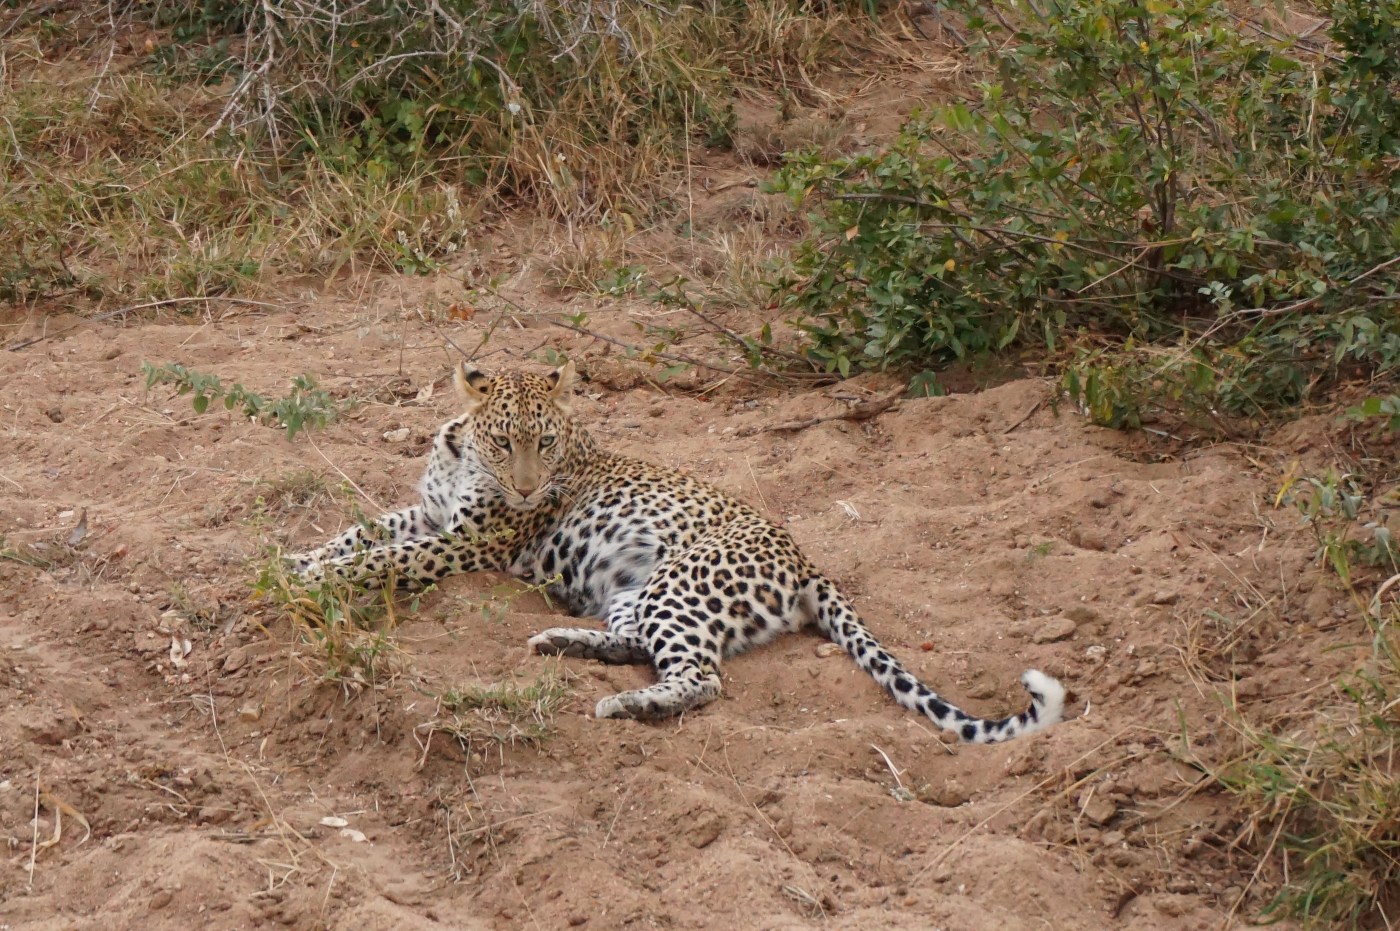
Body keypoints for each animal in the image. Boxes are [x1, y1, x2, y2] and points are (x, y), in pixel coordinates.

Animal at [288, 361, 1066, 743]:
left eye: (547, 441)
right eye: (507, 440)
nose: (530, 486)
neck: (463, 455)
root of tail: (804, 559)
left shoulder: (468, 541)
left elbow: (386, 558)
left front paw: (315, 579)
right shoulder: (428, 514)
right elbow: (363, 531)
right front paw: (298, 559)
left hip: (677, 585)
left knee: (701, 677)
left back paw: (626, 705)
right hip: (636, 590)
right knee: (639, 642)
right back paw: (562, 641)